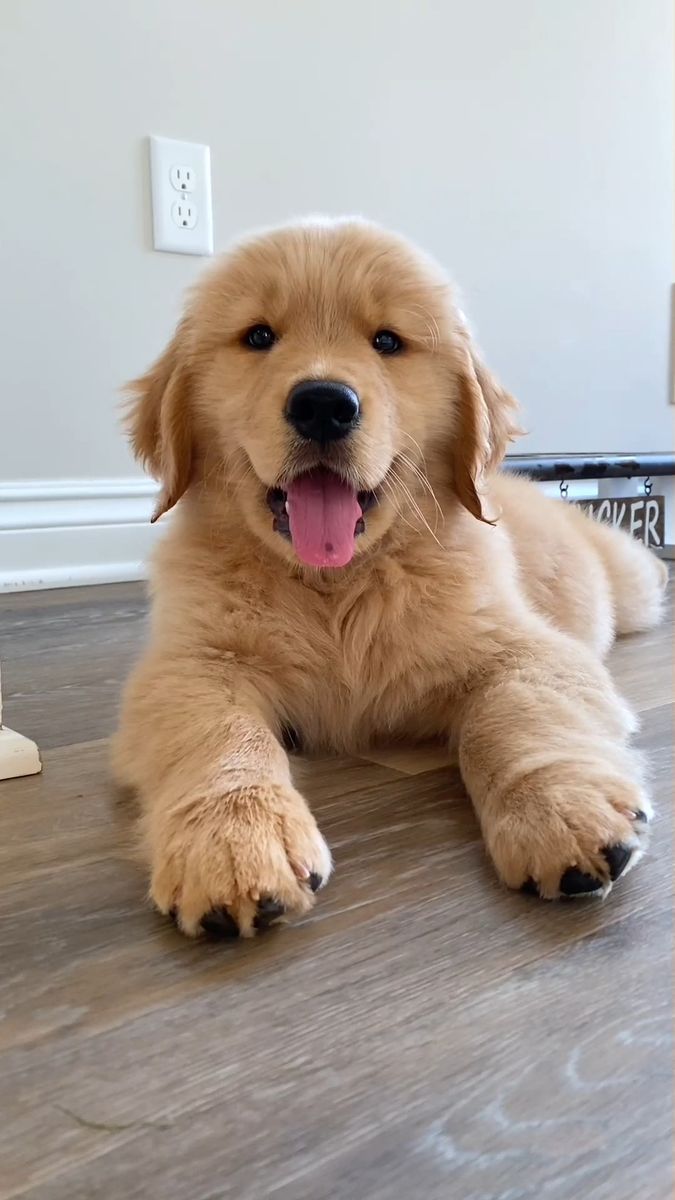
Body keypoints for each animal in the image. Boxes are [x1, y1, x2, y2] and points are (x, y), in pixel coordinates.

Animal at [112, 220, 662, 940]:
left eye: (388, 342)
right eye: (258, 337)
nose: (322, 404)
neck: (337, 586)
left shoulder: (524, 648)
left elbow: (519, 712)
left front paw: (561, 809)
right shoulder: (192, 664)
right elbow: (219, 735)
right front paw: (233, 842)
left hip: (630, 587)